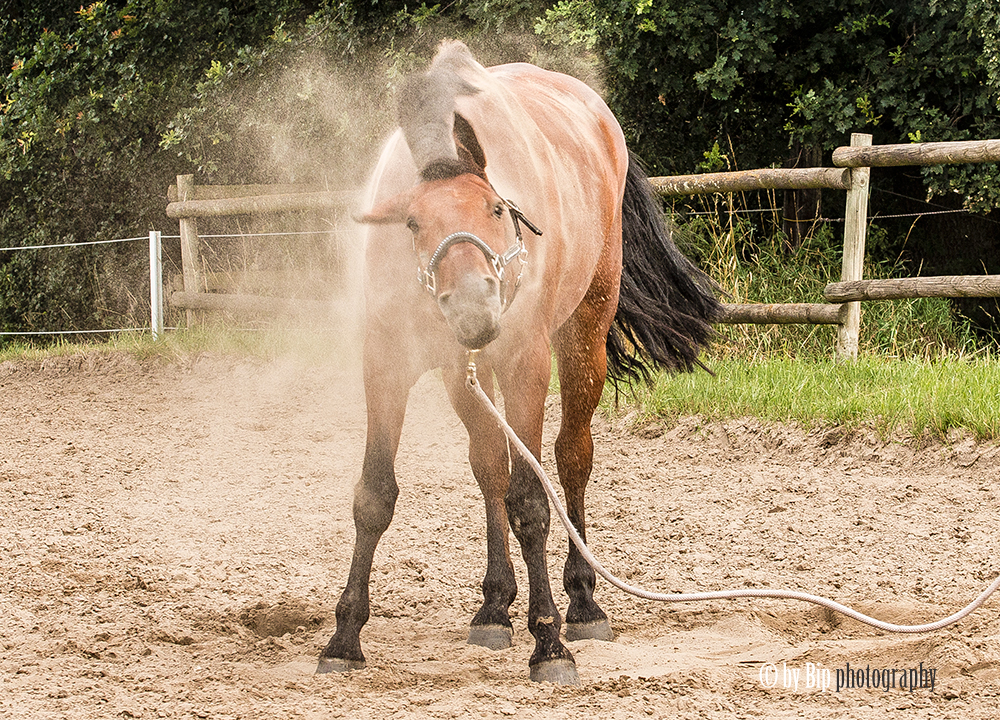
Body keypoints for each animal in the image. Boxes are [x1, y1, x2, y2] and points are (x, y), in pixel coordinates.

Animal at [318, 40, 720, 688]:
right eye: (413, 223)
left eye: (497, 209)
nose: (475, 308)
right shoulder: (386, 362)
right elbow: (374, 496)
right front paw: (344, 635)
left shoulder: (525, 364)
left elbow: (531, 502)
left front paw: (549, 641)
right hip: (465, 377)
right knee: (490, 470)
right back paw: (494, 606)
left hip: (582, 338)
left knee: (571, 459)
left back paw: (583, 603)